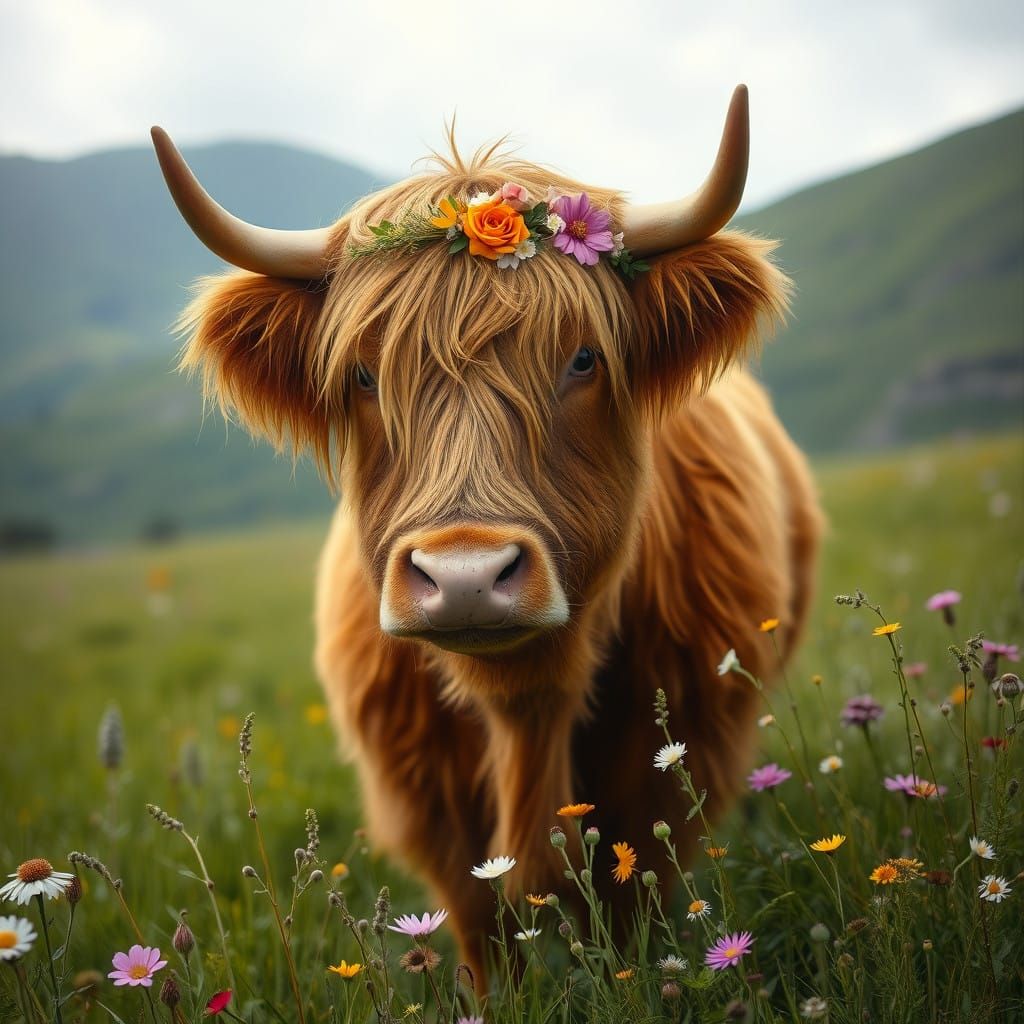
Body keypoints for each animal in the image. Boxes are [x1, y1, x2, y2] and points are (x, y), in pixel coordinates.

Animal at [152, 85, 822, 978]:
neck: (524, 713)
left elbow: (631, 897)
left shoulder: (677, 762)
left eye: (583, 359)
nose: (465, 576)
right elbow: (482, 928)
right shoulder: (426, 800)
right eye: (363, 374)